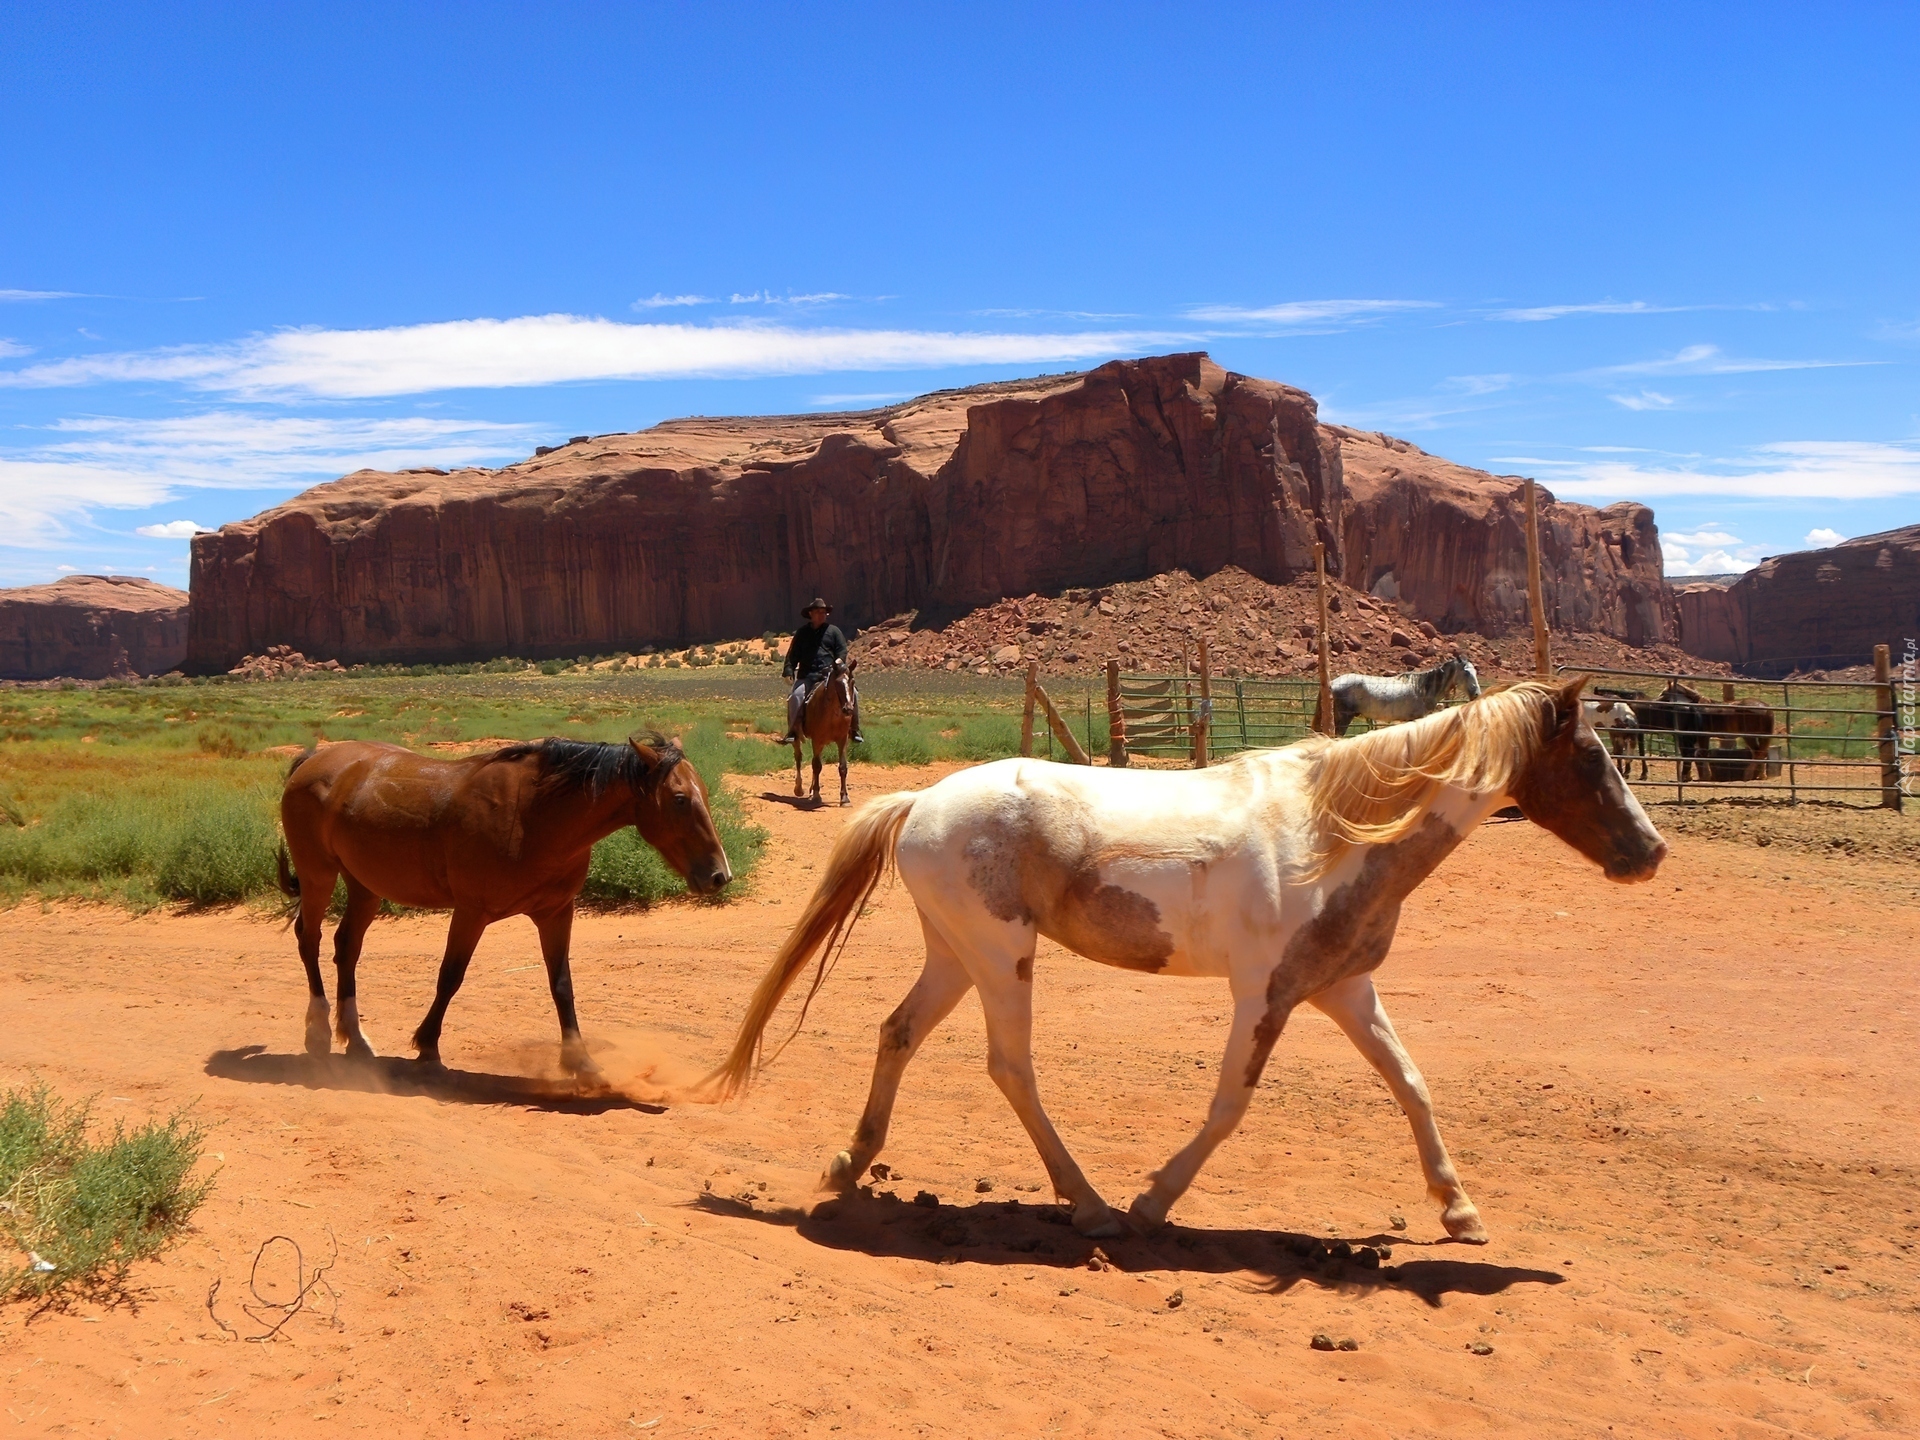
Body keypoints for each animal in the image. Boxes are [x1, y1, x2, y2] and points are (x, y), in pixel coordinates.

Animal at [280, 737, 733, 1090]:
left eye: (705, 794)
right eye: (679, 799)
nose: (719, 875)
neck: (533, 817)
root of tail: (315, 760)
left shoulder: (556, 913)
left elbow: (561, 986)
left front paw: (582, 1064)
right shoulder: (471, 912)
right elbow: (450, 977)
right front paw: (428, 1049)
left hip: (364, 887)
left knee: (346, 948)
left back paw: (356, 1041)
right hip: (319, 875)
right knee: (310, 940)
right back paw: (318, 1033)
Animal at [714, 683, 1674, 1244]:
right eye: (1592, 757)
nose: (1650, 853)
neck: (1335, 834)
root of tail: (920, 801)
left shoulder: (1342, 988)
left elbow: (1411, 1083)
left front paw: (1460, 1209)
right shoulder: (1265, 995)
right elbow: (1229, 1108)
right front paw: (1153, 1202)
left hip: (955, 955)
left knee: (899, 1033)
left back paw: (850, 1162)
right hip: (998, 956)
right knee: (1010, 1068)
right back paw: (1091, 1205)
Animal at [791, 656, 860, 806]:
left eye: (852, 682)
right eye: (838, 683)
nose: (848, 709)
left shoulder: (842, 740)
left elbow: (842, 767)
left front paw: (844, 798)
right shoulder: (817, 739)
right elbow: (817, 766)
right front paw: (817, 795)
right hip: (798, 737)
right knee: (799, 757)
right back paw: (799, 788)